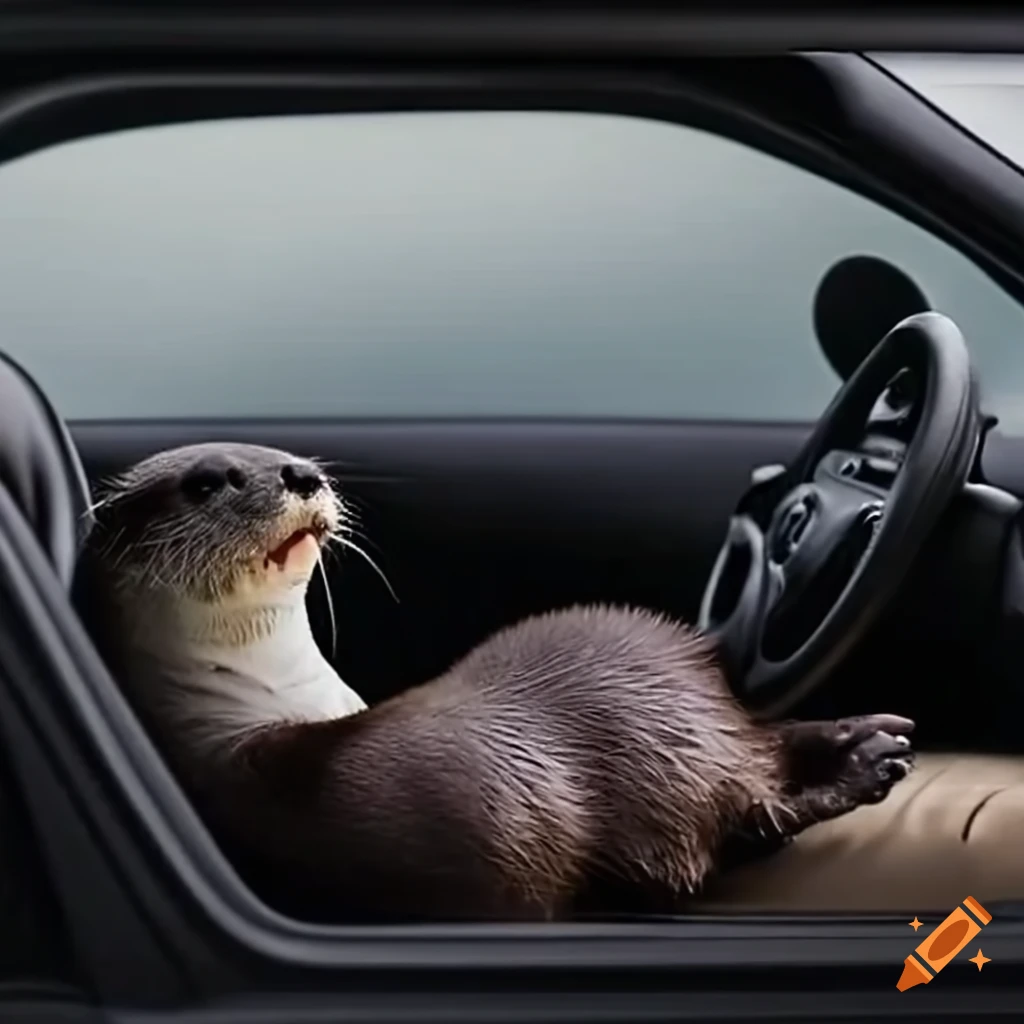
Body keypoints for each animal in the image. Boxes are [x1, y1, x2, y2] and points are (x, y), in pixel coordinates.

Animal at [77, 442, 915, 922]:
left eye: (277, 449)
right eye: (209, 483)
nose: (302, 473)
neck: (268, 693)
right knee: (744, 817)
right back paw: (866, 763)